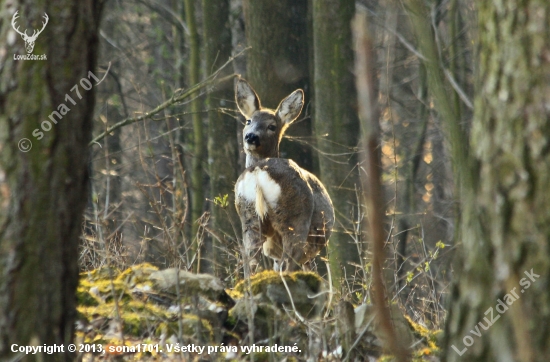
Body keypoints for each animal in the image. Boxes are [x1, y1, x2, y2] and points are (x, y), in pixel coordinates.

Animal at [234, 78, 334, 272]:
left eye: (272, 126)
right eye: (248, 121)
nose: (251, 137)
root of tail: (259, 170)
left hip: (248, 217)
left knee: (251, 265)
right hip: (294, 220)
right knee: (287, 265)